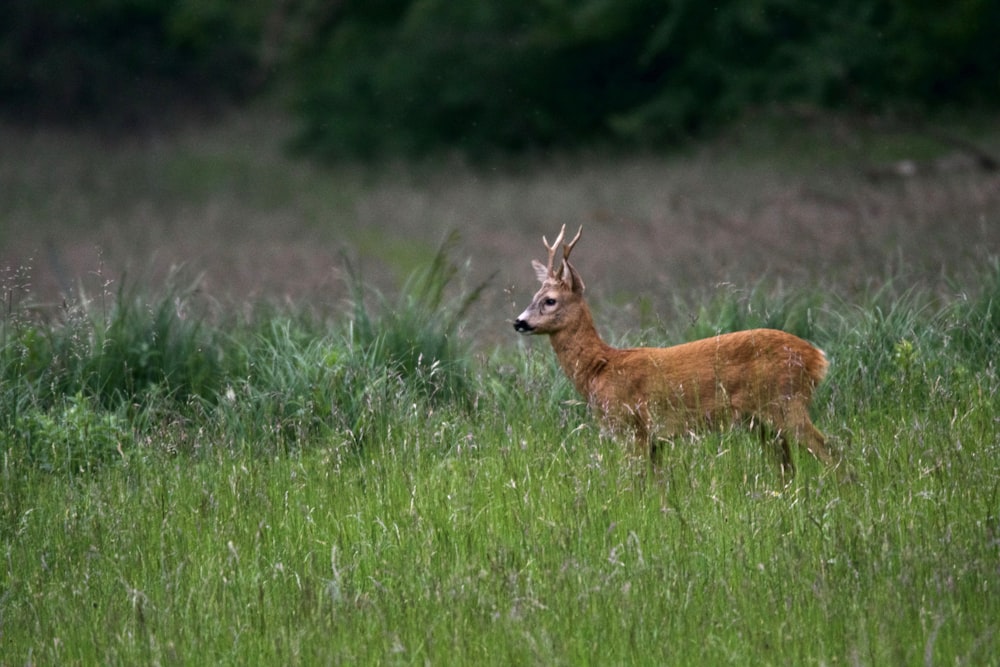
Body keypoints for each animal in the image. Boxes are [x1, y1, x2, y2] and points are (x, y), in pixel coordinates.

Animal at [512, 227, 840, 478]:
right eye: (533, 296)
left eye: (550, 300)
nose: (519, 322)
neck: (600, 368)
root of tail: (818, 358)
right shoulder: (654, 440)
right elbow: (660, 484)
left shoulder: (633, 427)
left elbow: (637, 483)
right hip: (761, 420)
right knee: (788, 467)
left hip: (786, 402)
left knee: (832, 451)